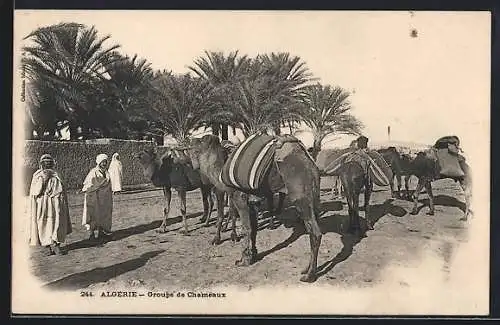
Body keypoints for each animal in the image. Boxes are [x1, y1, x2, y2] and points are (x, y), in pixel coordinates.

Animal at [186, 134, 322, 280]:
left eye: (198, 145)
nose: (191, 140)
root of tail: (308, 160)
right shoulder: (253, 202)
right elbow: (254, 228)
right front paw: (254, 254)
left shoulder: (239, 198)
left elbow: (246, 228)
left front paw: (243, 260)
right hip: (313, 196)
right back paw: (306, 269)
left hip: (300, 197)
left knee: (315, 233)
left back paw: (309, 275)